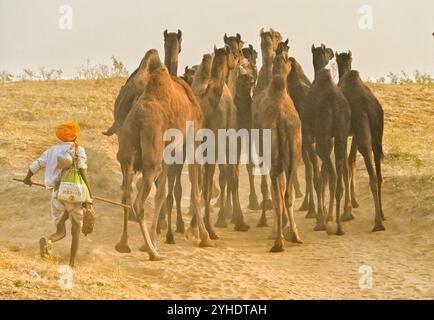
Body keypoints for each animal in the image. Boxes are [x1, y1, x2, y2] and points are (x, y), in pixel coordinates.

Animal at [114, 50, 211, 260]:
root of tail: (138, 121)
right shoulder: (192, 140)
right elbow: (194, 191)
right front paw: (205, 237)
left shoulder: (168, 154)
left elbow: (162, 194)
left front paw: (153, 241)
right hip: (152, 158)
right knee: (139, 203)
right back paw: (153, 253)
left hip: (128, 154)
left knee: (126, 194)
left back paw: (124, 244)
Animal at [302, 43, 352, 234]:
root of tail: (334, 107)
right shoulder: (330, 140)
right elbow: (322, 177)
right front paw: (324, 217)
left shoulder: (309, 136)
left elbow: (318, 178)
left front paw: (319, 219)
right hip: (340, 137)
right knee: (337, 177)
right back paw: (337, 224)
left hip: (322, 137)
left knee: (332, 176)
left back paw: (330, 223)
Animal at [334, 50, 384, 231]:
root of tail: (370, 108)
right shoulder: (353, 134)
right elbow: (351, 162)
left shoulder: (342, 133)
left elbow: (345, 166)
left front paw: (347, 212)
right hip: (376, 136)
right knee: (379, 173)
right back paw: (382, 215)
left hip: (363, 133)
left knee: (372, 175)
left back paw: (377, 223)